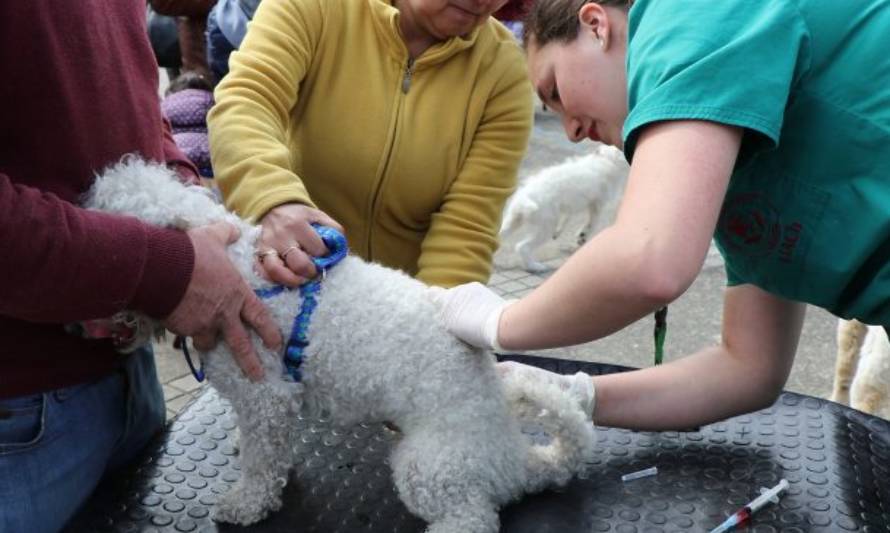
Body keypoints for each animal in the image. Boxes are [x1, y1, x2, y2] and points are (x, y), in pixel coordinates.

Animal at [85, 158, 596, 532]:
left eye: (116, 259)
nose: (86, 323)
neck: (241, 273)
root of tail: (521, 460)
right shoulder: (276, 403)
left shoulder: (266, 395)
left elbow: (260, 461)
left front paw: (247, 503)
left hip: (433, 467)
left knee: (472, 518)